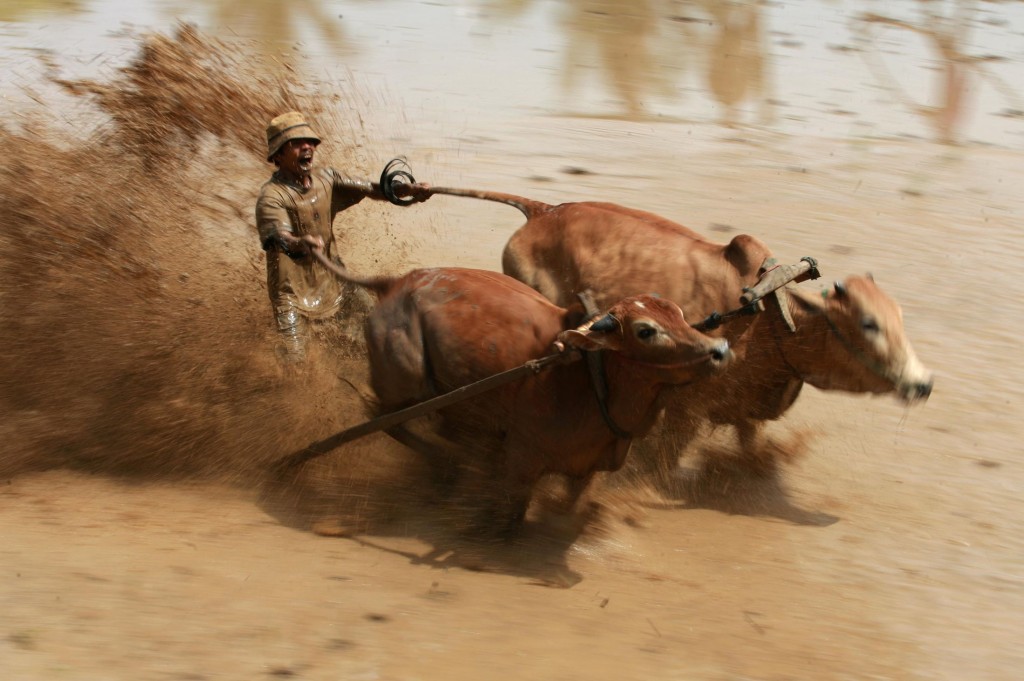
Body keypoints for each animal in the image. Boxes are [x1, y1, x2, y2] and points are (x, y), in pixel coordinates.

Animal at [319, 260, 729, 532]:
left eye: (679, 313)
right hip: (406, 383)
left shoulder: (589, 469)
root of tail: (394, 282)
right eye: (646, 331)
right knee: (385, 418)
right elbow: (511, 515)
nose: (720, 349)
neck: (592, 377)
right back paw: (447, 465)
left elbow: (570, 508)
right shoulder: (522, 461)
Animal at [419, 187, 933, 477]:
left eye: (899, 318)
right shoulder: (686, 412)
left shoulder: (744, 415)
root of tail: (543, 209)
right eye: (869, 323)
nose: (923, 383)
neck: (773, 318)